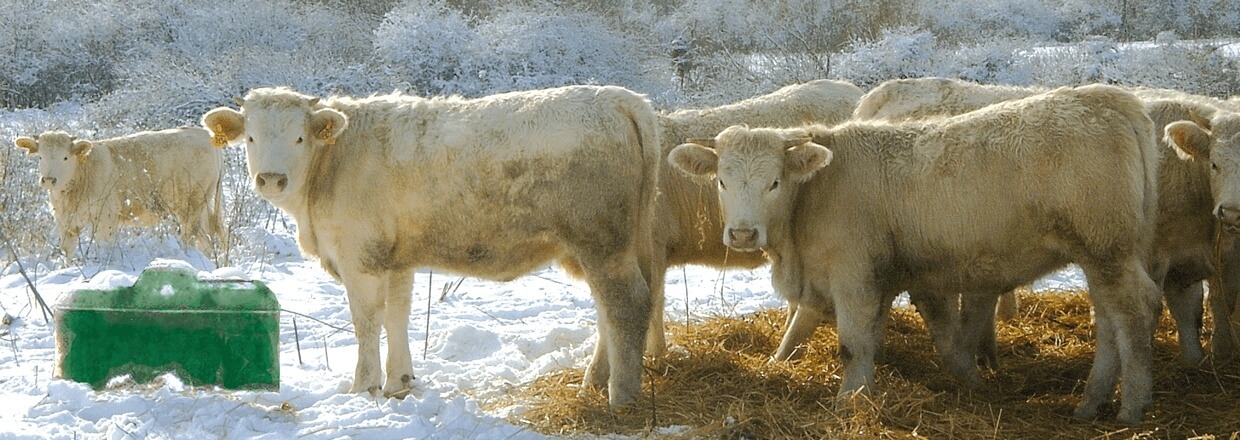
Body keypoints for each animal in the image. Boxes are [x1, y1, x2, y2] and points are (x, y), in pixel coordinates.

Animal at [13, 128, 225, 257]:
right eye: (41, 156)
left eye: (65, 157)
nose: (49, 180)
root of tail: (202, 132)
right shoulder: (65, 222)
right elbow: (67, 251)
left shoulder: (105, 217)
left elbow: (104, 245)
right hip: (201, 206)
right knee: (206, 240)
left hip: (191, 206)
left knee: (190, 237)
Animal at [201, 85, 661, 407]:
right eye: (251, 138)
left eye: (299, 138)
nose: (271, 179)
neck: (330, 167)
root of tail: (620, 98)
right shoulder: (395, 260)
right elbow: (396, 317)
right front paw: (399, 383)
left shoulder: (360, 259)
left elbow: (366, 322)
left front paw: (363, 386)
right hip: (601, 247)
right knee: (609, 308)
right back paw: (594, 380)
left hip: (601, 241)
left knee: (626, 304)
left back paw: (620, 396)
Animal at [669, 84, 1163, 424]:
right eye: (721, 181)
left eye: (774, 182)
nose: (743, 233)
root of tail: (1104, 96)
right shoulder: (885, 279)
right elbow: (887, 341)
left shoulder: (853, 278)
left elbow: (852, 344)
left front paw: (848, 404)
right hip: (1104, 255)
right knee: (1109, 321)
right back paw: (1091, 403)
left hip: (1107, 250)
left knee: (1135, 312)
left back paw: (1131, 408)